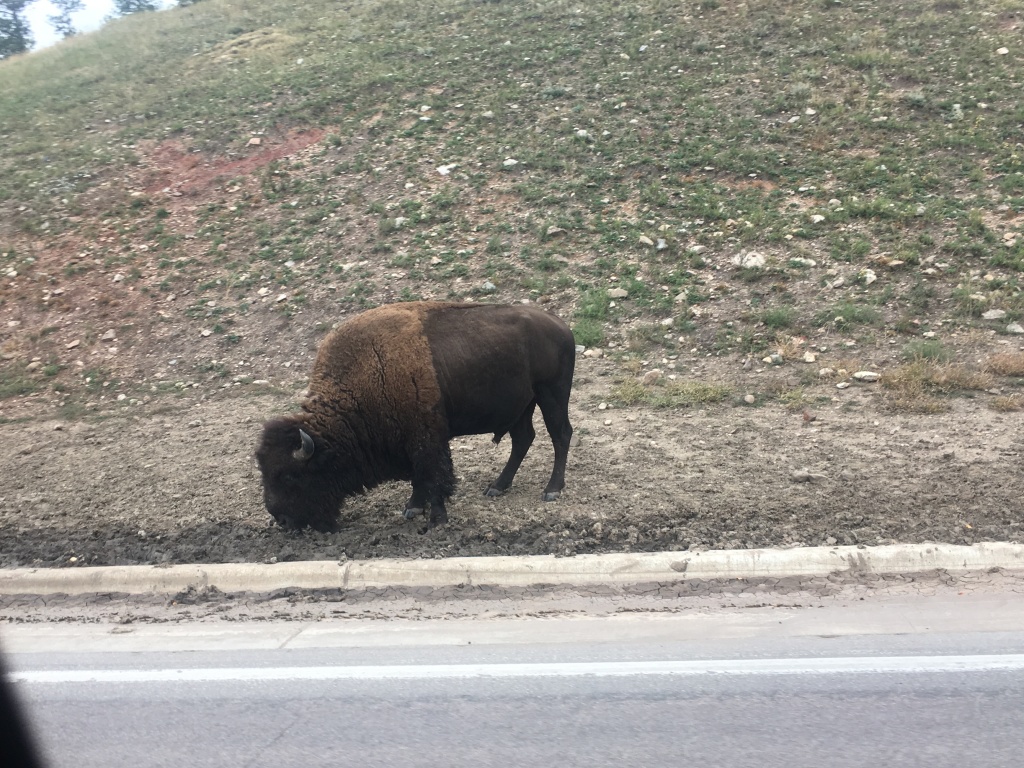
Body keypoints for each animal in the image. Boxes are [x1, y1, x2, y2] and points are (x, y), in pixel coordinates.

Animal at [256, 301, 575, 531]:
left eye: (289, 475)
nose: (281, 521)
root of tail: (563, 327)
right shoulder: (410, 440)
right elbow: (419, 478)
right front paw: (413, 508)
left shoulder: (427, 438)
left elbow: (434, 475)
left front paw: (436, 519)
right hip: (522, 406)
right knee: (523, 439)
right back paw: (497, 487)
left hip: (551, 394)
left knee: (560, 434)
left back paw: (552, 490)